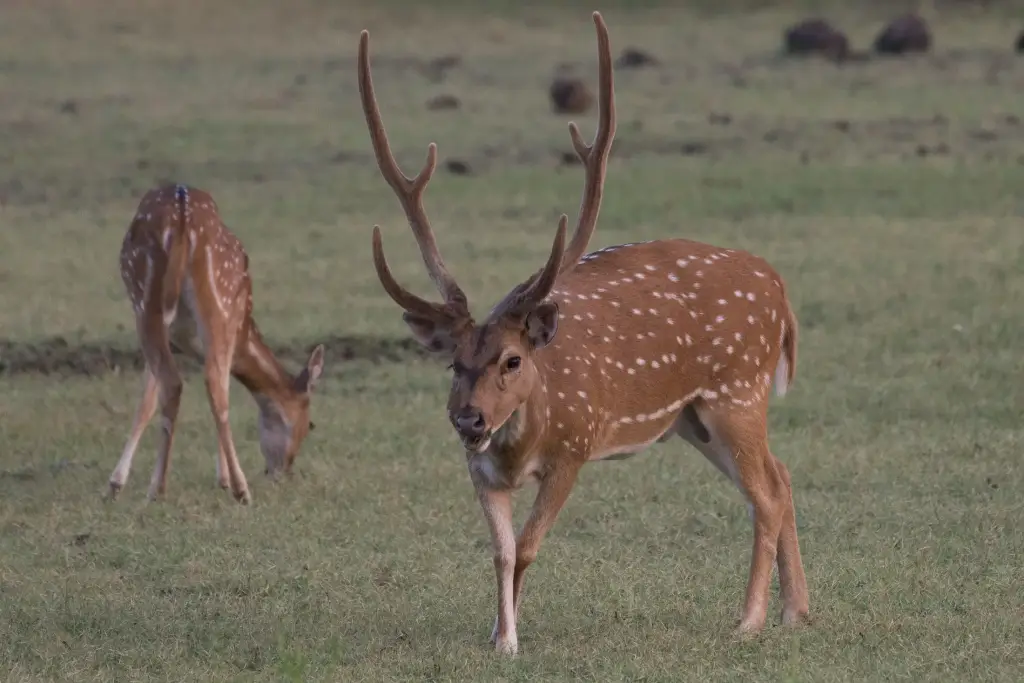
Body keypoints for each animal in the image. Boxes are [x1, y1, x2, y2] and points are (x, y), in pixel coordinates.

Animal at [108, 184, 325, 504]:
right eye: (309, 424)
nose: (282, 472)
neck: (247, 331)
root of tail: (182, 221)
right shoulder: (231, 324)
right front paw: (223, 478)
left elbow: (148, 400)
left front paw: (115, 483)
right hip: (214, 302)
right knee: (208, 386)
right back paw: (236, 489)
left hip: (149, 304)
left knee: (179, 383)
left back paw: (160, 488)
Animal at [358, 12, 810, 655]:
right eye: (453, 363)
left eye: (513, 359)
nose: (468, 419)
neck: (523, 440)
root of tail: (778, 288)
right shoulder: (479, 471)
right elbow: (500, 553)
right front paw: (499, 635)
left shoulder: (575, 447)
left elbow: (526, 548)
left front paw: (510, 640)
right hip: (695, 419)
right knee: (781, 475)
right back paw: (798, 612)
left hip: (737, 391)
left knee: (766, 495)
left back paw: (748, 621)